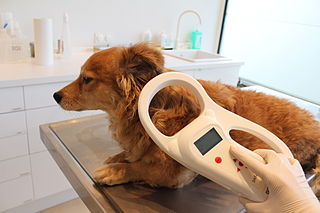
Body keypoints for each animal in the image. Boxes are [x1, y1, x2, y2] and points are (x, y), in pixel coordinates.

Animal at [53, 42, 320, 192]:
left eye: (86, 78)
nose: (55, 95)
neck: (150, 110)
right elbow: (134, 155)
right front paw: (119, 157)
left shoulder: (175, 174)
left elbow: (140, 168)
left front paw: (116, 170)